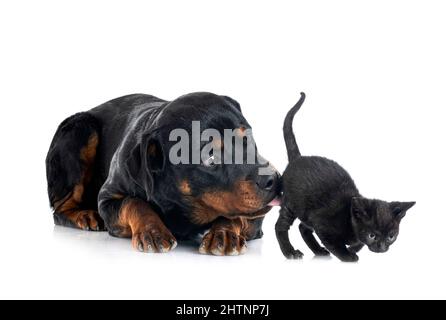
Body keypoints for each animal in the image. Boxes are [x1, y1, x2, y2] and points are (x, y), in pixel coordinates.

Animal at [47, 92, 280, 255]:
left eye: (248, 139)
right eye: (210, 157)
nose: (274, 179)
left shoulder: (254, 220)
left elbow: (237, 215)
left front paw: (224, 232)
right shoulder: (107, 199)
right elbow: (133, 202)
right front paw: (152, 230)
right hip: (81, 129)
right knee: (59, 209)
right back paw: (85, 215)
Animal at [276, 92, 414, 262]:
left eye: (391, 236)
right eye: (372, 235)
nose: (381, 248)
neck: (349, 218)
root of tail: (298, 158)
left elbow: (359, 244)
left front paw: (353, 248)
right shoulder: (322, 223)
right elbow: (335, 244)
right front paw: (348, 256)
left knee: (303, 227)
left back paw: (318, 251)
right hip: (291, 203)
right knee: (281, 226)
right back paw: (290, 252)